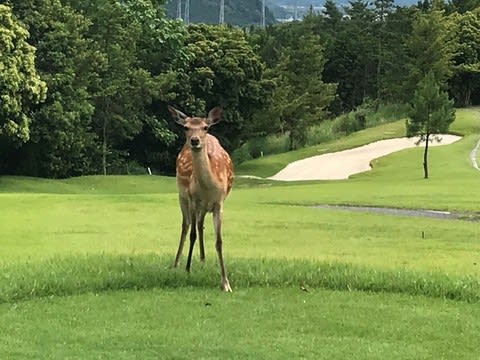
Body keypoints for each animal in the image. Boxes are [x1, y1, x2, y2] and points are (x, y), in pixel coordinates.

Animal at [168, 105, 235, 292]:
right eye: (186, 127)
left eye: (205, 127)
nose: (195, 140)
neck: (208, 188)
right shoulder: (193, 199)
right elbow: (191, 235)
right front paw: (187, 269)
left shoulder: (219, 203)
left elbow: (219, 241)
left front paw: (225, 283)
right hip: (182, 196)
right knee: (186, 226)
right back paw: (176, 263)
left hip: (204, 207)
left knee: (200, 225)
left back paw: (203, 259)